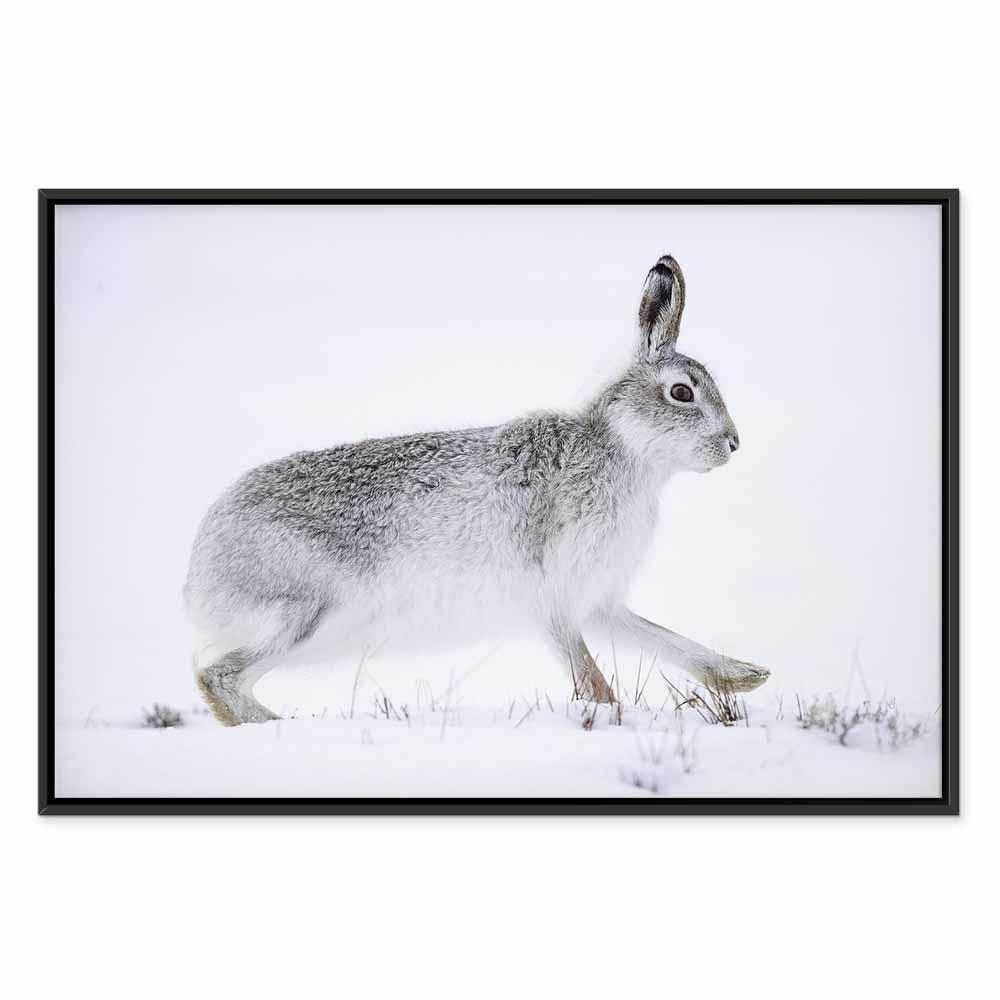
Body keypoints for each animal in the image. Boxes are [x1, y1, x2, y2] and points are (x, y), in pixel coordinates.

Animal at [184, 254, 770, 725]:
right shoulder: (554, 596)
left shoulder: (598, 599)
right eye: (682, 393)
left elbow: (662, 637)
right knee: (217, 678)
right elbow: (589, 677)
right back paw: (279, 727)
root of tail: (198, 573)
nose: (733, 443)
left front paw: (745, 676)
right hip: (307, 613)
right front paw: (611, 716)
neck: (623, 450)